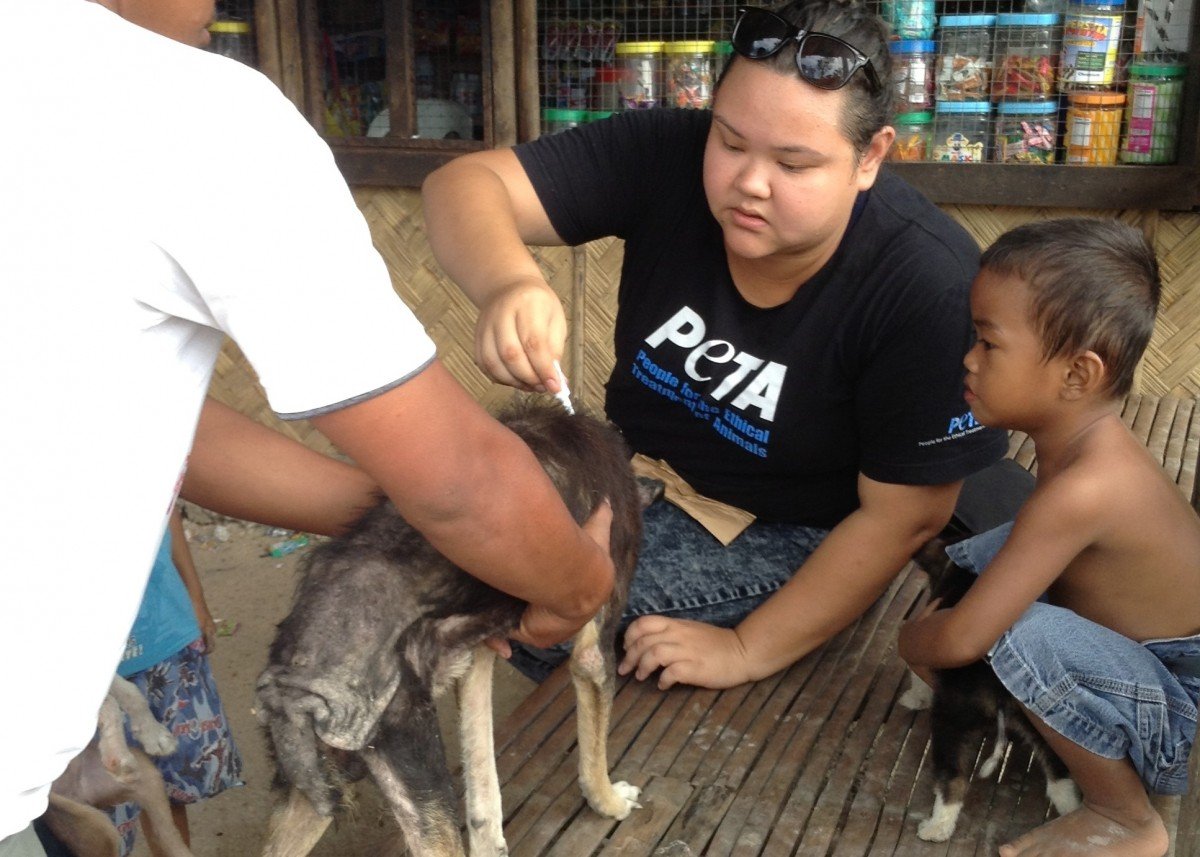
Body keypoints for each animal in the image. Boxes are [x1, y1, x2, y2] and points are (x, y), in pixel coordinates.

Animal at [253, 400, 652, 854]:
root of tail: (296, 687)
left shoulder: (474, 654)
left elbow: (481, 782)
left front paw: (490, 840)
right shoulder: (593, 641)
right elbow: (593, 750)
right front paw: (610, 802)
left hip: (309, 793)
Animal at [902, 540, 1084, 840]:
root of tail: (998, 683)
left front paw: (913, 697)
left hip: (951, 718)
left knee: (953, 780)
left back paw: (936, 827)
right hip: (1044, 721)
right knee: (1060, 775)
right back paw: (1069, 816)